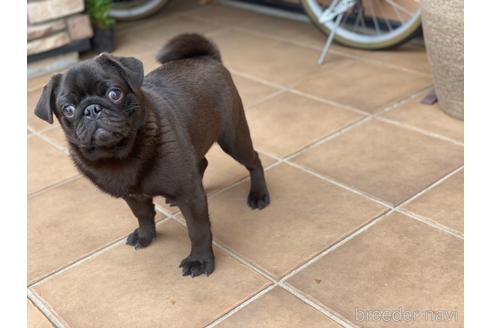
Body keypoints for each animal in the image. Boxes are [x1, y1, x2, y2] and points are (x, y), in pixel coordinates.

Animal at [35, 34, 270, 276]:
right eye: (68, 109)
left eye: (114, 93)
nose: (92, 109)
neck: (119, 154)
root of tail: (208, 58)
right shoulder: (133, 196)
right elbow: (143, 216)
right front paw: (145, 236)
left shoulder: (190, 196)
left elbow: (198, 229)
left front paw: (199, 260)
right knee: (202, 162)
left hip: (233, 139)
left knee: (254, 160)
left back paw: (259, 195)